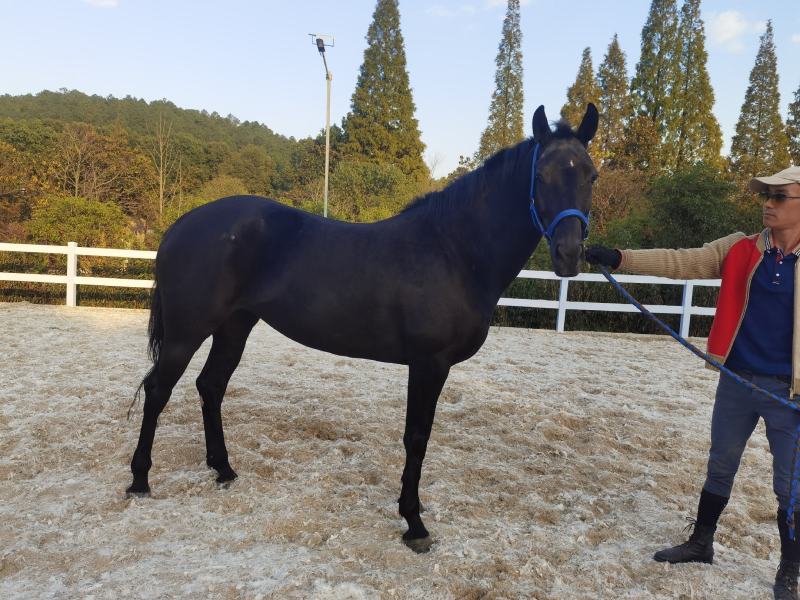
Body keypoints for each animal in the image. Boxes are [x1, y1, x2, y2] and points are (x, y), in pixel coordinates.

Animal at [126, 103, 599, 553]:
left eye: (590, 175)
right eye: (542, 175)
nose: (569, 254)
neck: (454, 251)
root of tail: (180, 226)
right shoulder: (429, 364)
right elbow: (417, 437)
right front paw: (414, 523)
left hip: (234, 327)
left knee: (210, 386)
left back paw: (223, 468)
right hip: (187, 333)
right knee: (158, 390)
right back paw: (140, 480)